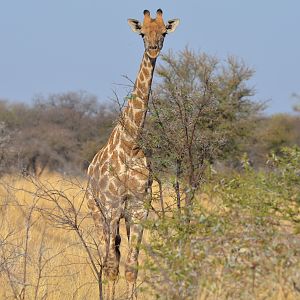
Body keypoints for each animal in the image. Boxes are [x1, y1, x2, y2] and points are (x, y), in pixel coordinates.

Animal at [86, 8, 179, 298]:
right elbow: (112, 266)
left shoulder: (139, 209)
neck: (130, 143)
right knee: (106, 259)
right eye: (142, 33)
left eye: (163, 32)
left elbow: (132, 266)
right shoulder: (112, 207)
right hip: (96, 211)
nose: (153, 49)